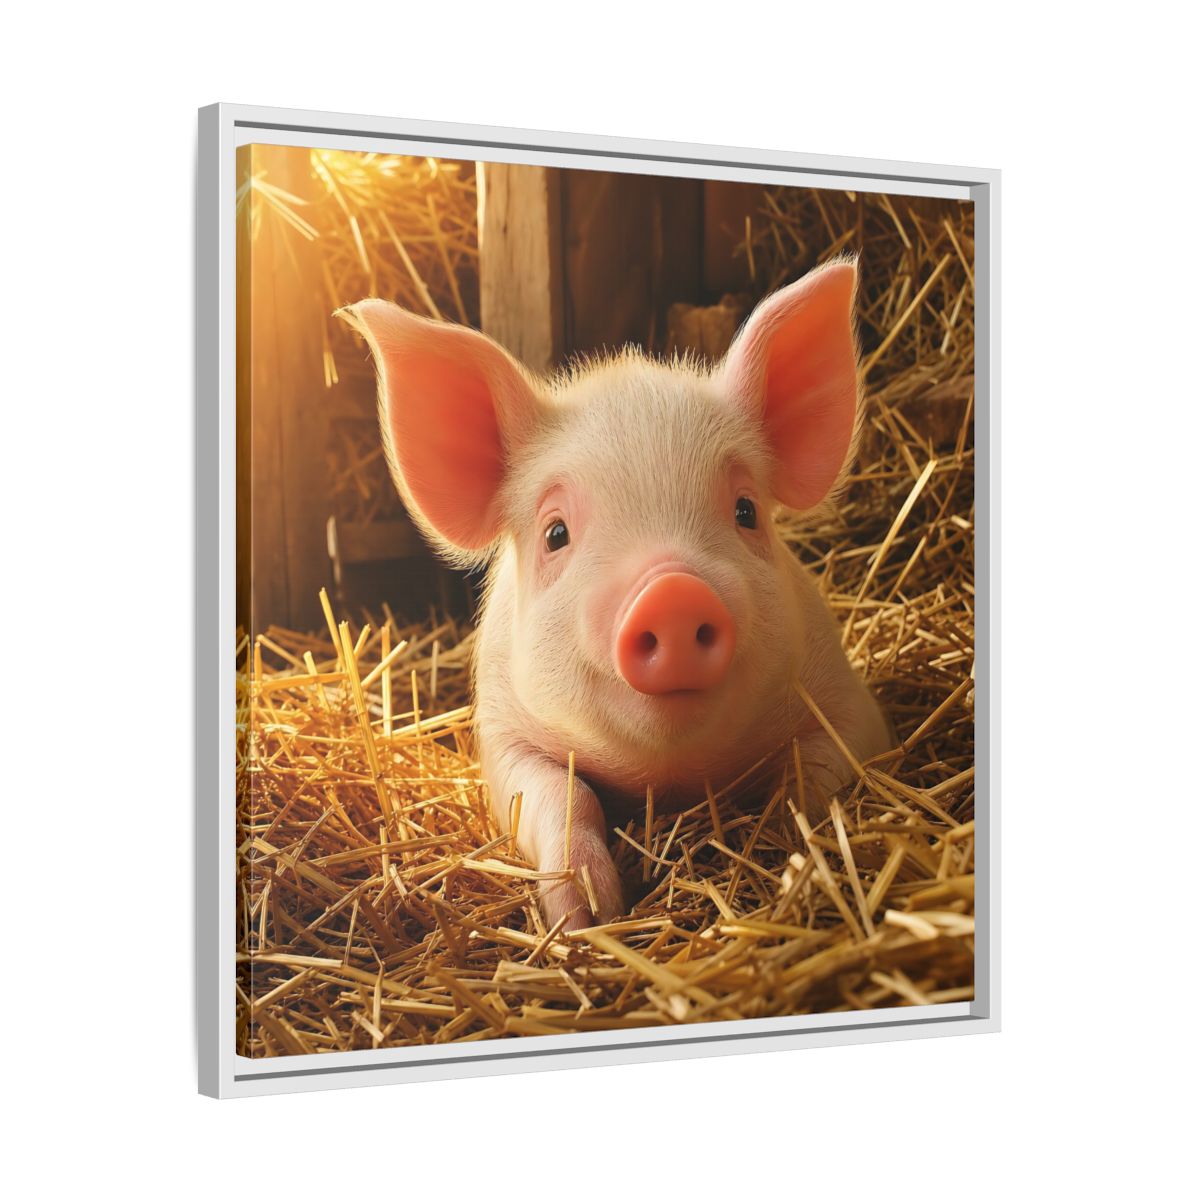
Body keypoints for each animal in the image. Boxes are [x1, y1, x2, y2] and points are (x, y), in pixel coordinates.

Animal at [340, 258, 892, 932]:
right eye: (555, 533)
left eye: (746, 510)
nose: (672, 592)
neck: (670, 778)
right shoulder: (501, 733)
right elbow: (562, 794)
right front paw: (587, 918)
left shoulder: (847, 702)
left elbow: (813, 774)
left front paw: (793, 853)